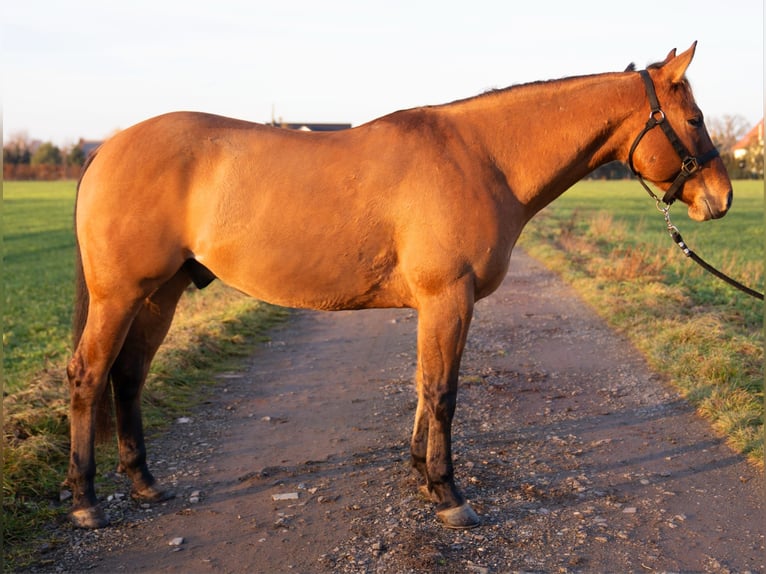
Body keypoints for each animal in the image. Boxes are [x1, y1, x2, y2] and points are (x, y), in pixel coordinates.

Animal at [66, 44, 732, 532]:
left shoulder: (434, 305)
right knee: (89, 376)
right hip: (120, 296)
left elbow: (420, 385)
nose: (721, 199)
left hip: (161, 293)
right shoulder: (448, 298)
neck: (482, 157)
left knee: (128, 376)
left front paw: (419, 474)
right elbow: (442, 393)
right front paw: (448, 493)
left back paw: (144, 483)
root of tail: (108, 149)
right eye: (694, 119)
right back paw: (86, 501)